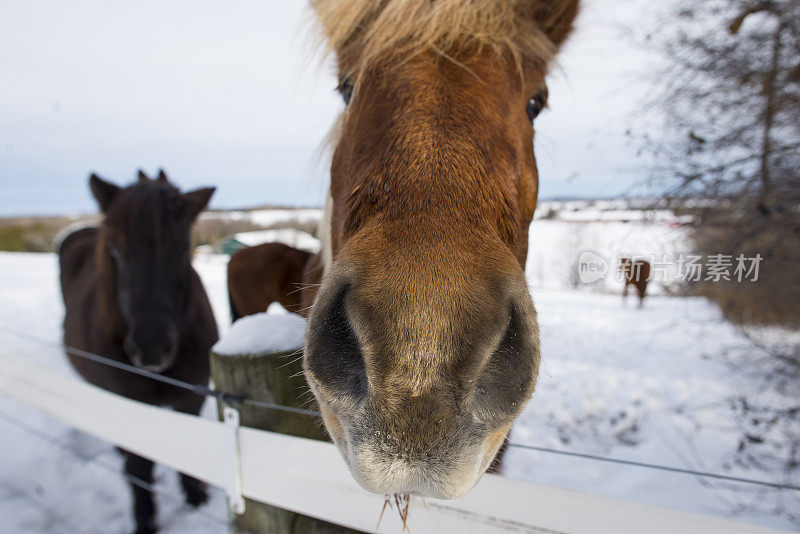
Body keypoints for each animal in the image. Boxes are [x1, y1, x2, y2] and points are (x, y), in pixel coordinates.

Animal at [57, 172, 217, 534]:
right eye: (116, 249)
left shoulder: (191, 397)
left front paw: (196, 499)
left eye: (182, 247)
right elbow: (138, 469)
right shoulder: (129, 403)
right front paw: (145, 520)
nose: (151, 348)